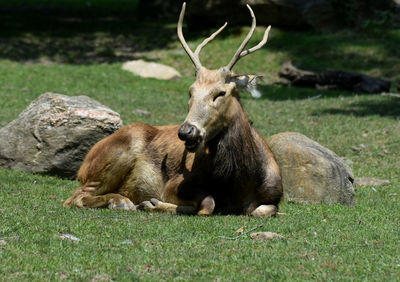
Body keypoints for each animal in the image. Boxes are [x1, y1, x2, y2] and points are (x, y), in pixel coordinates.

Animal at [63, 2, 282, 217]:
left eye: (221, 93)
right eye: (190, 91)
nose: (186, 131)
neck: (237, 183)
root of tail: (83, 165)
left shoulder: (275, 195)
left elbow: (264, 210)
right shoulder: (175, 184)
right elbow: (208, 204)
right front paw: (151, 203)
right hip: (115, 155)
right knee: (75, 197)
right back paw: (121, 202)